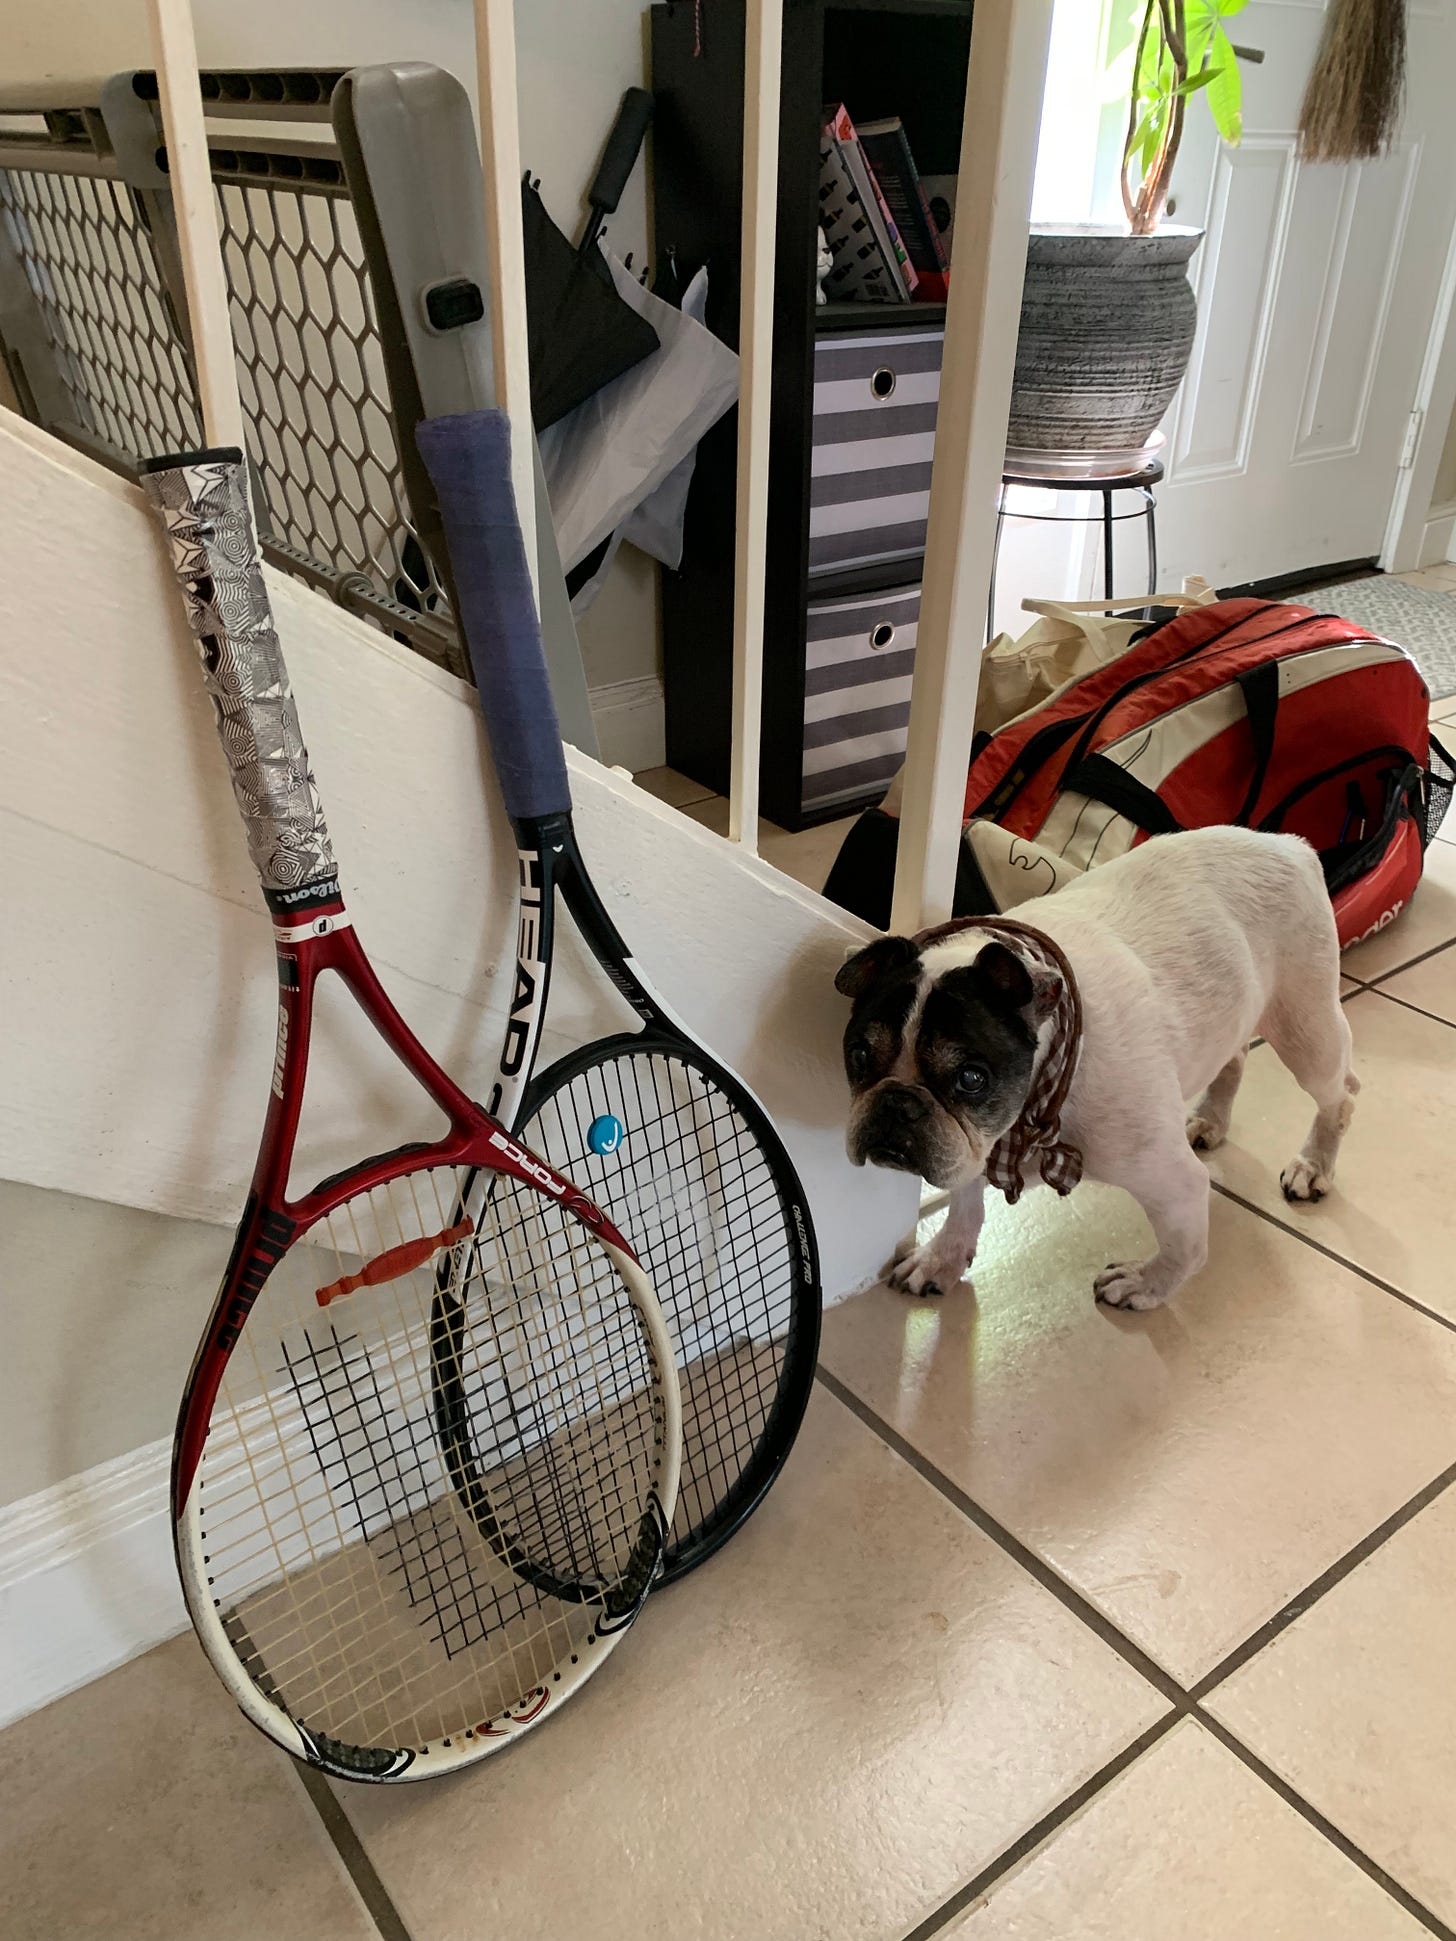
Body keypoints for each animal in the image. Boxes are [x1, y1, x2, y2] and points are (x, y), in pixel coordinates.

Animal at [838, 826, 1366, 1312]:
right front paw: (942, 1258)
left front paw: (1146, 1285)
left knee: (1341, 1095)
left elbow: (1184, 1248)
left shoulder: (1172, 1183)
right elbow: (964, 1204)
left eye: (971, 1078)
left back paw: (1314, 1164)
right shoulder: (973, 1146)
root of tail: (1288, 842)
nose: (897, 1101)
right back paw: (1209, 1120)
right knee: (1234, 1058)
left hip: (1307, 1033)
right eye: (858, 1056)